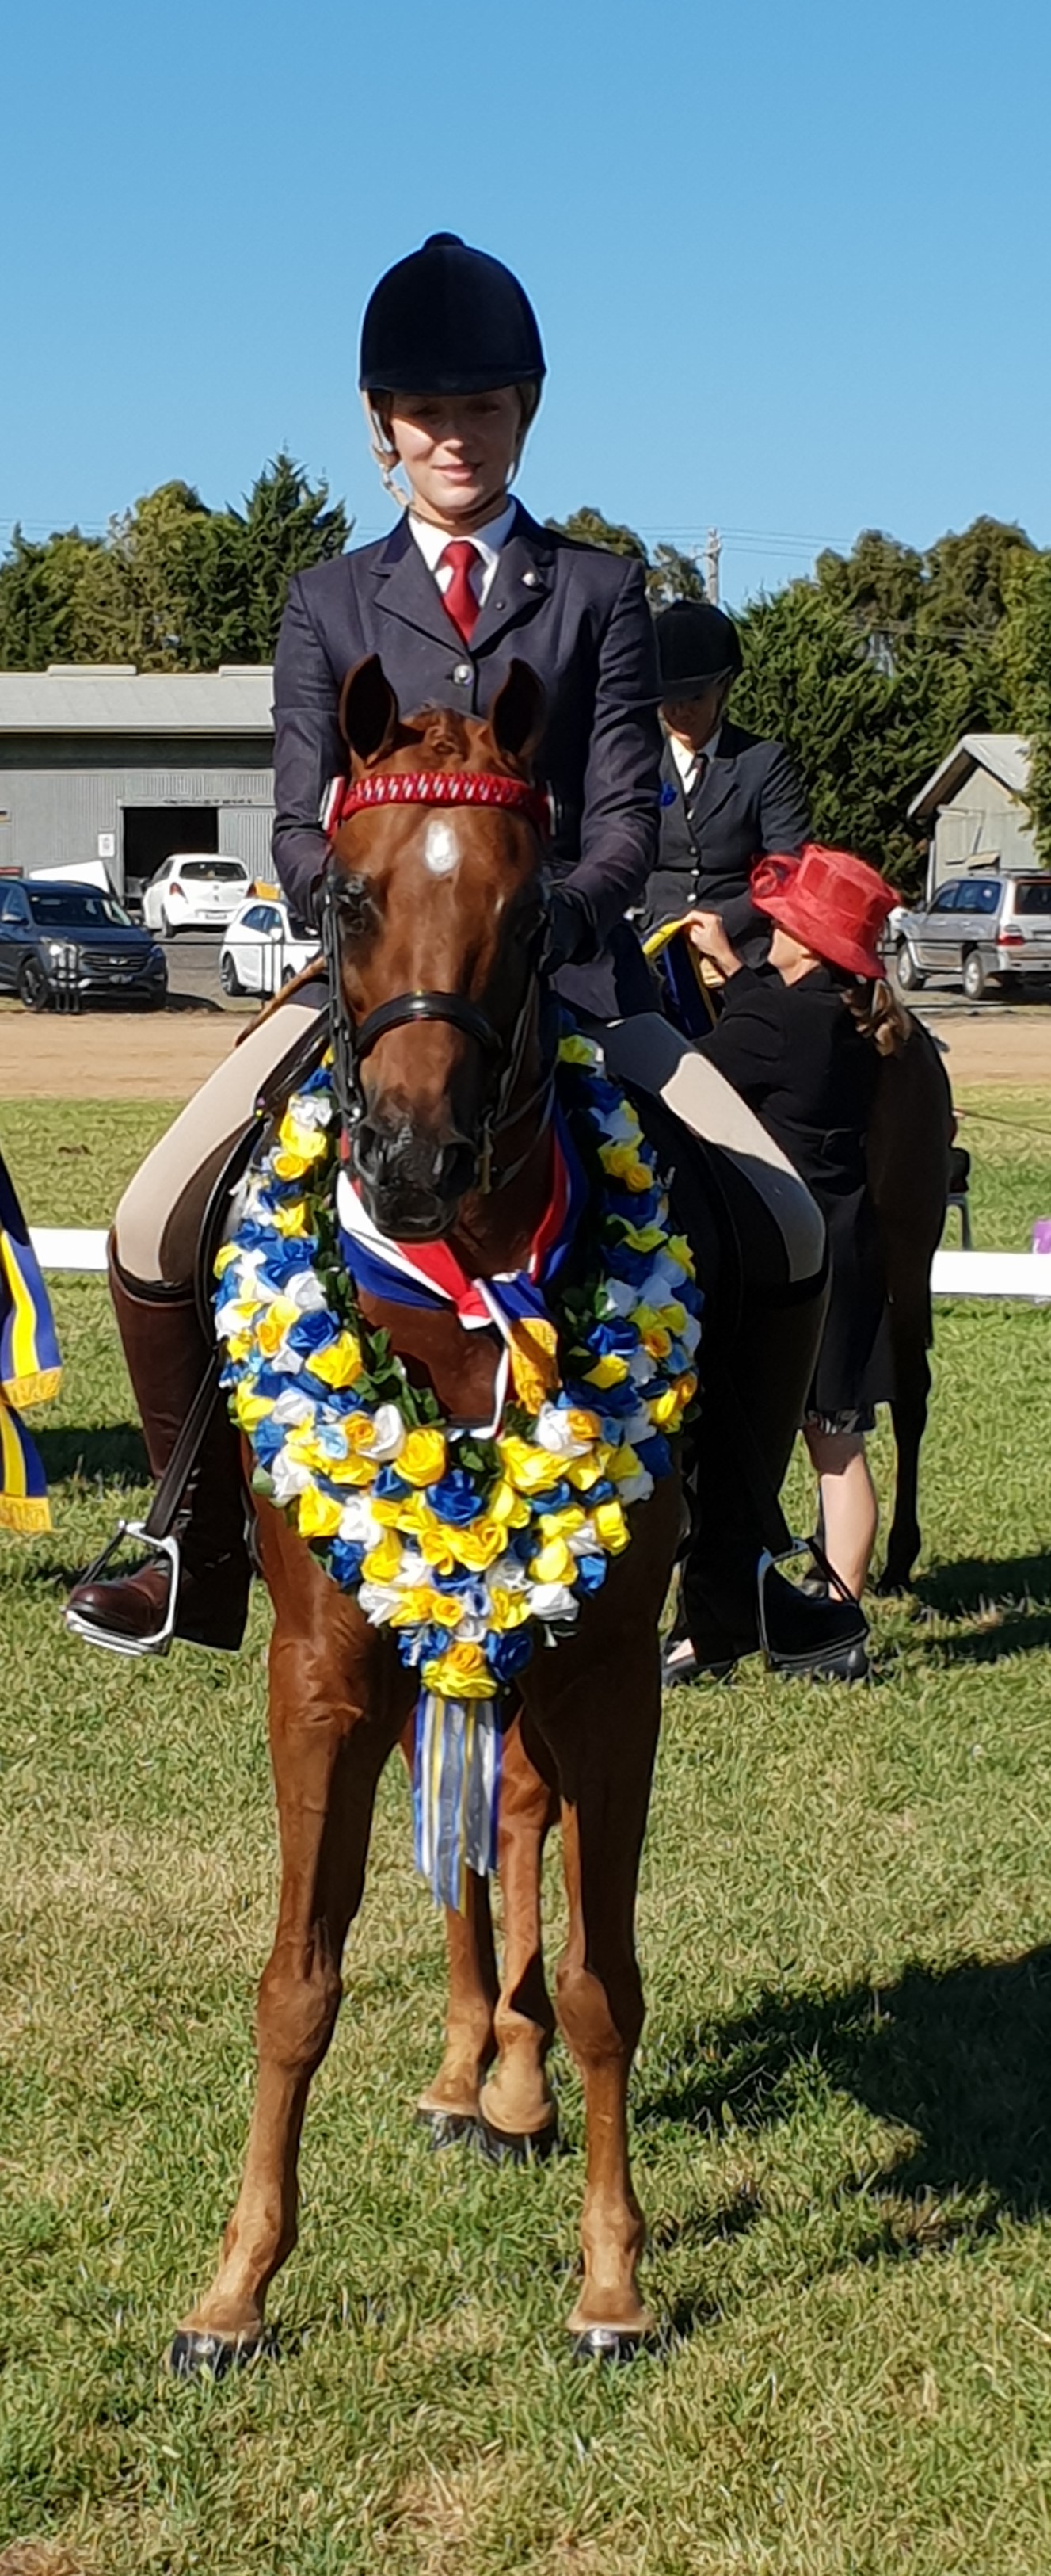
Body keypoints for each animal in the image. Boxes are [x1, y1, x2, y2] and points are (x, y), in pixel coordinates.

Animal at [169, 659, 680, 2369]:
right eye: (343, 892)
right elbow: (295, 1979)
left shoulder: (609, 1672)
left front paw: (612, 2275)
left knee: (508, 1823)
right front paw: (235, 2288)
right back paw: (470, 2072)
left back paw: (507, 2081)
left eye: (534, 916)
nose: (408, 1159)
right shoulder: (322, 1666)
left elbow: (600, 1980)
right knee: (466, 1845)